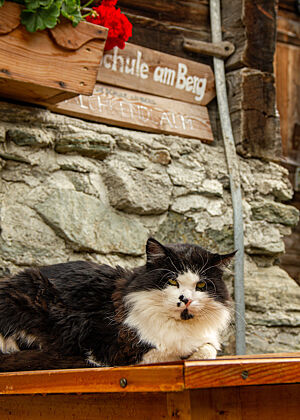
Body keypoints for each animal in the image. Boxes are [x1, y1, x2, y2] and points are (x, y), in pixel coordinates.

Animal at [0, 238, 234, 372]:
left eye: (201, 285)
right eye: (172, 281)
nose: (186, 299)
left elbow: (208, 348)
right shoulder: (121, 350)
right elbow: (179, 351)